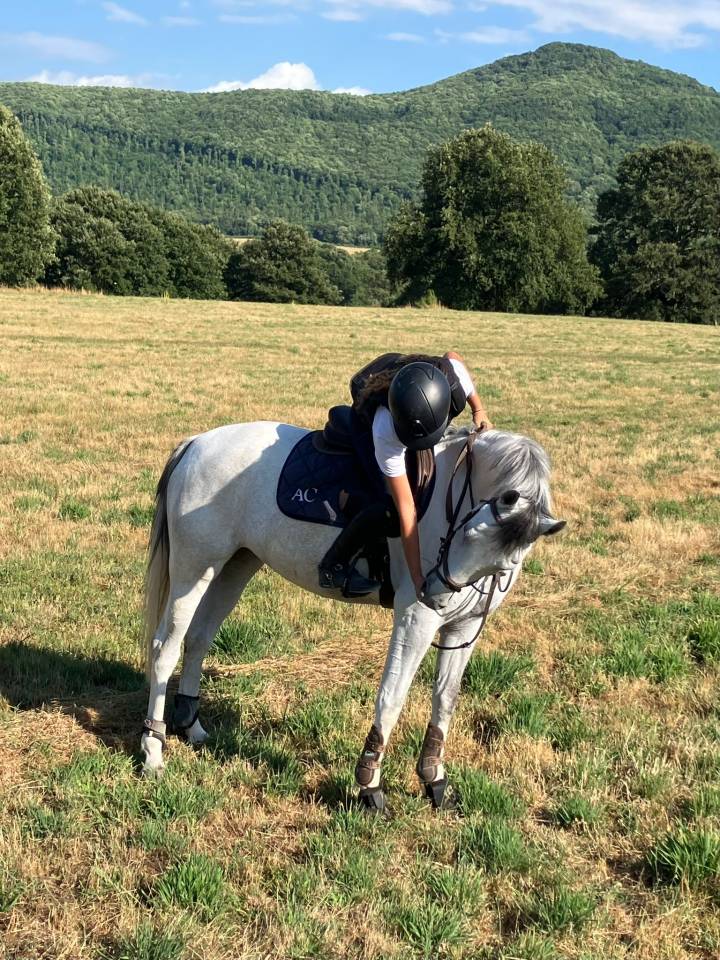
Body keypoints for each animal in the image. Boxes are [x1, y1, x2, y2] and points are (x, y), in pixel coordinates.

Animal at [140, 420, 565, 812]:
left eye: (509, 559)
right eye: (470, 530)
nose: (435, 592)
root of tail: (196, 442)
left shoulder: (465, 627)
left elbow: (446, 699)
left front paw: (435, 780)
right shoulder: (415, 619)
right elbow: (392, 697)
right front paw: (369, 785)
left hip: (235, 565)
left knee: (198, 638)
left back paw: (192, 727)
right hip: (193, 569)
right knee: (165, 648)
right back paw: (153, 751)